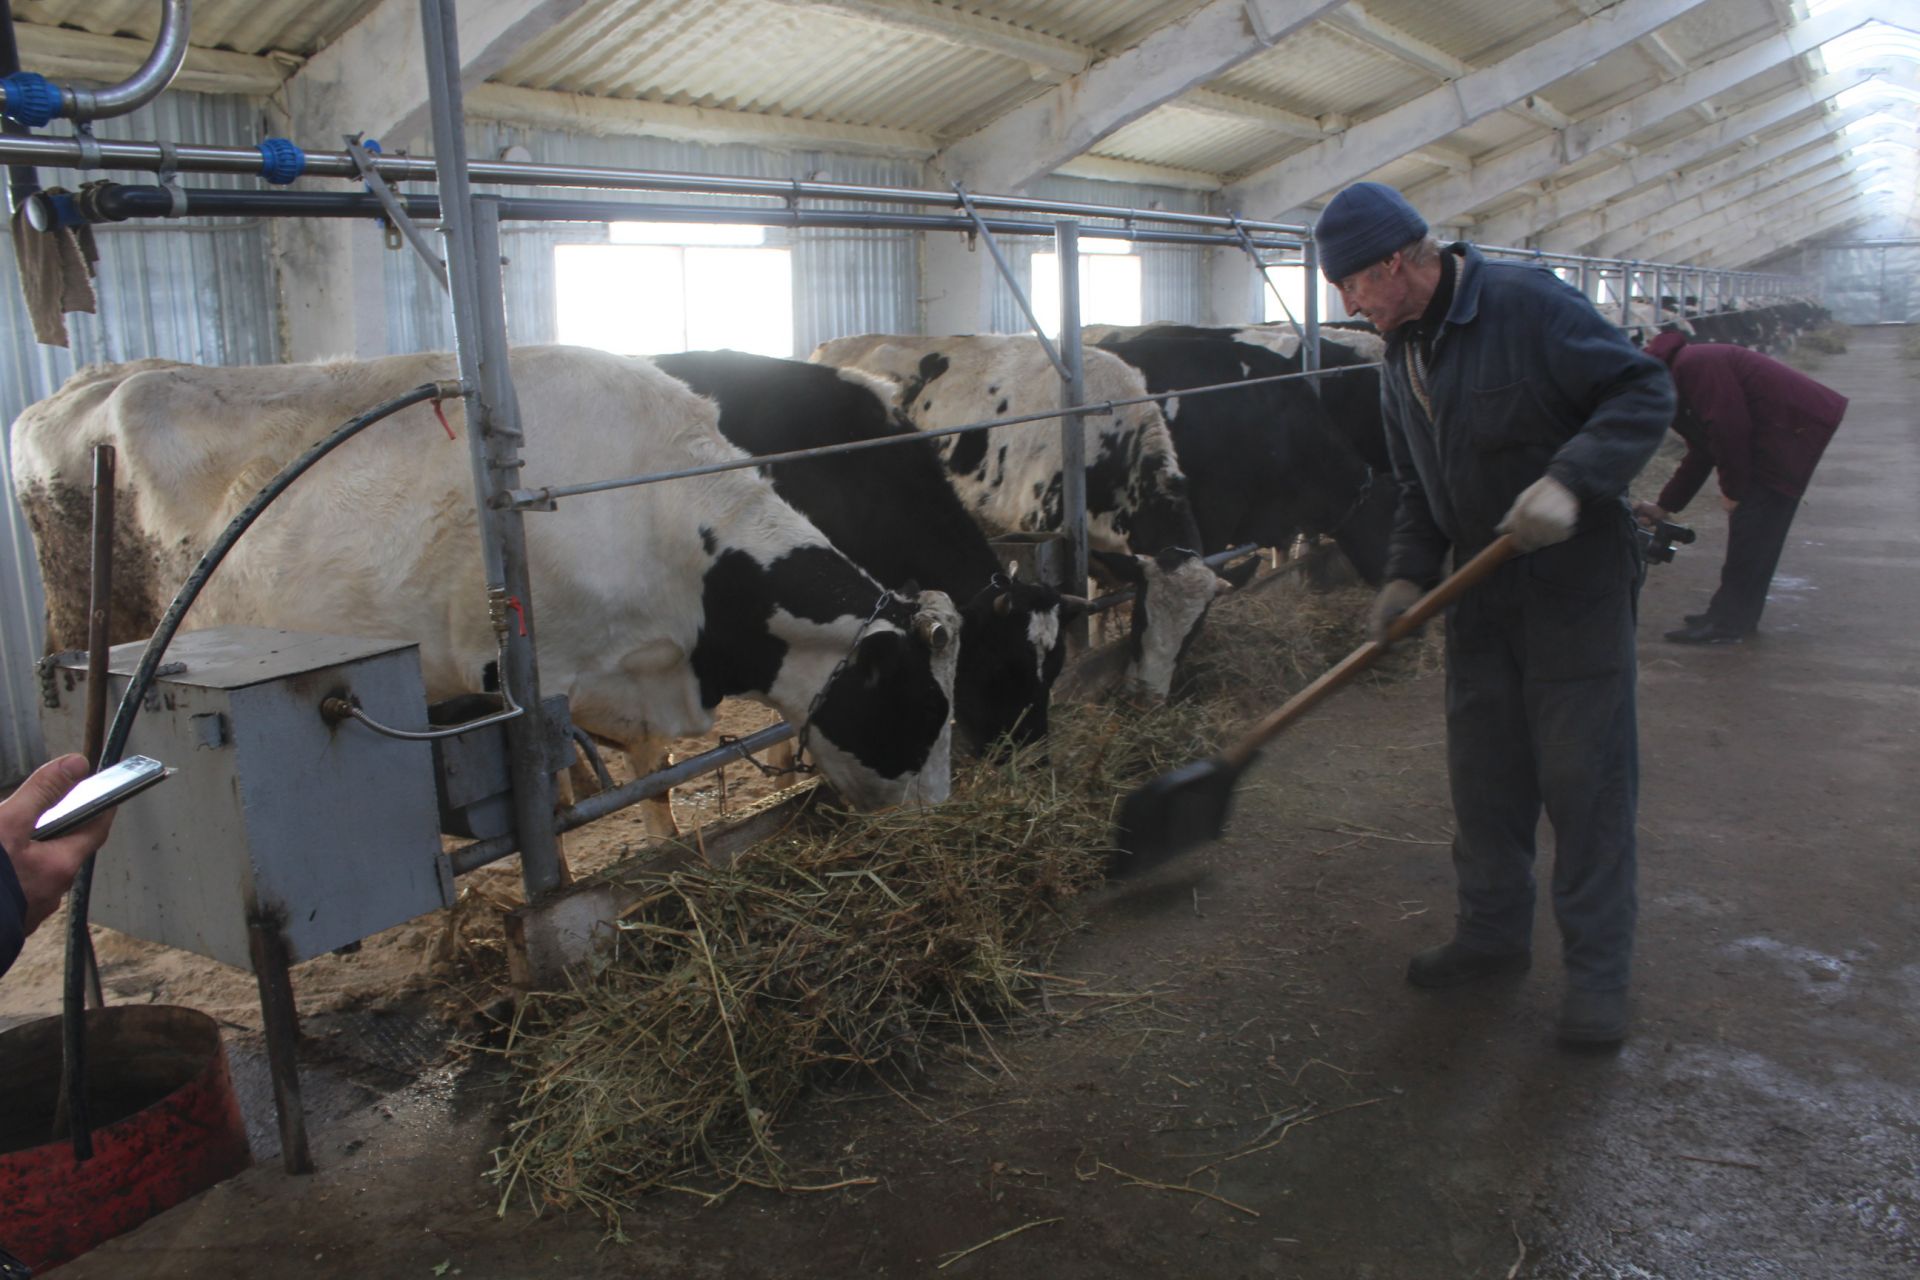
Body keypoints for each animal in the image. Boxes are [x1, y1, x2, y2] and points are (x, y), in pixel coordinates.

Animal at [18, 343, 960, 821]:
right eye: (921, 709)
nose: (939, 815)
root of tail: (86, 383)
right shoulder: (520, 679)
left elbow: (654, 780)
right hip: (94, 638)